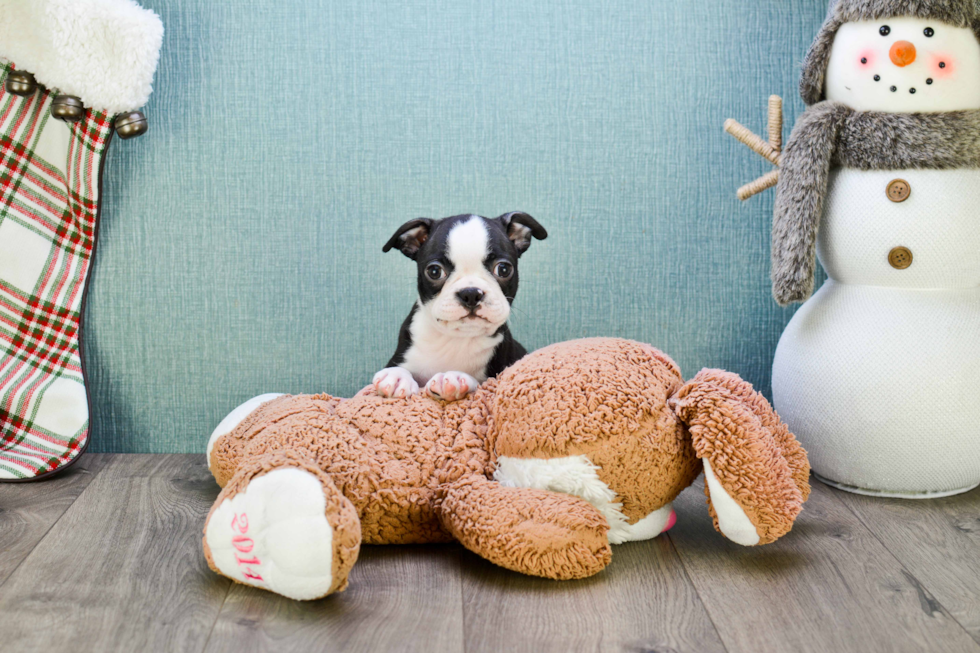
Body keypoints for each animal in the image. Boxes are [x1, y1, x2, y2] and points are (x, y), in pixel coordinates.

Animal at [374, 211, 548, 400]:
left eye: (503, 269)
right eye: (434, 271)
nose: (470, 293)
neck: (456, 338)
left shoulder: (494, 377)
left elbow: (478, 381)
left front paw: (452, 377)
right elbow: (399, 367)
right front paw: (396, 376)